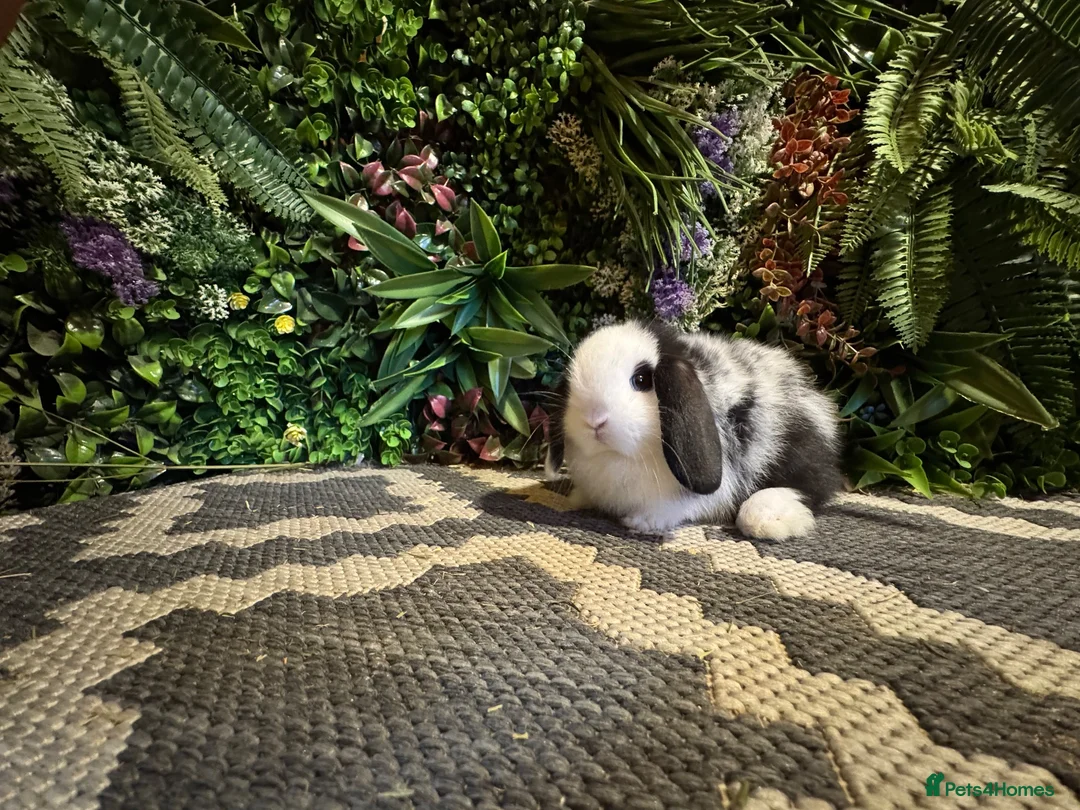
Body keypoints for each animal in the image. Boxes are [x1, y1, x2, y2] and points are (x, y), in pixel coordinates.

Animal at [545, 320, 844, 540]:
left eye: (641, 379)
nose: (594, 420)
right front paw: (577, 499)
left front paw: (642, 522)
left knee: (813, 486)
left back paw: (767, 519)